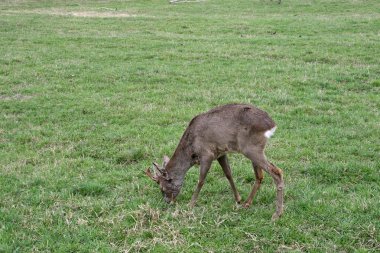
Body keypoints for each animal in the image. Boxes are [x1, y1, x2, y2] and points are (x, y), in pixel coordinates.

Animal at [147, 104, 284, 220]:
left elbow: (201, 180)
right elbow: (228, 174)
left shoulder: (207, 154)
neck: (192, 150)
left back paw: (276, 214)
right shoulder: (220, 153)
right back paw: (247, 203)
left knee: (276, 171)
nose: (168, 202)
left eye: (162, 187)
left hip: (251, 148)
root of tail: (272, 125)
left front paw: (190, 204)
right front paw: (238, 199)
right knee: (260, 176)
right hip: (254, 150)